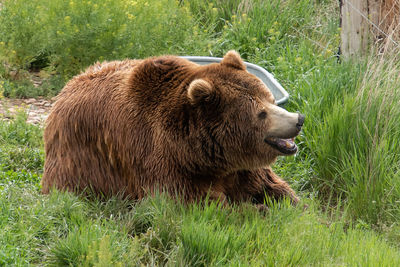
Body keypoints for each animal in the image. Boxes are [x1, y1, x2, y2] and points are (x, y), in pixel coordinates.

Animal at [41, 50, 304, 205]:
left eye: (270, 99)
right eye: (261, 113)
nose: (298, 119)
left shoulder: (241, 170)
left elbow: (274, 187)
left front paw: (292, 204)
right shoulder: (163, 164)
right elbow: (199, 203)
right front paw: (253, 210)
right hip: (76, 163)